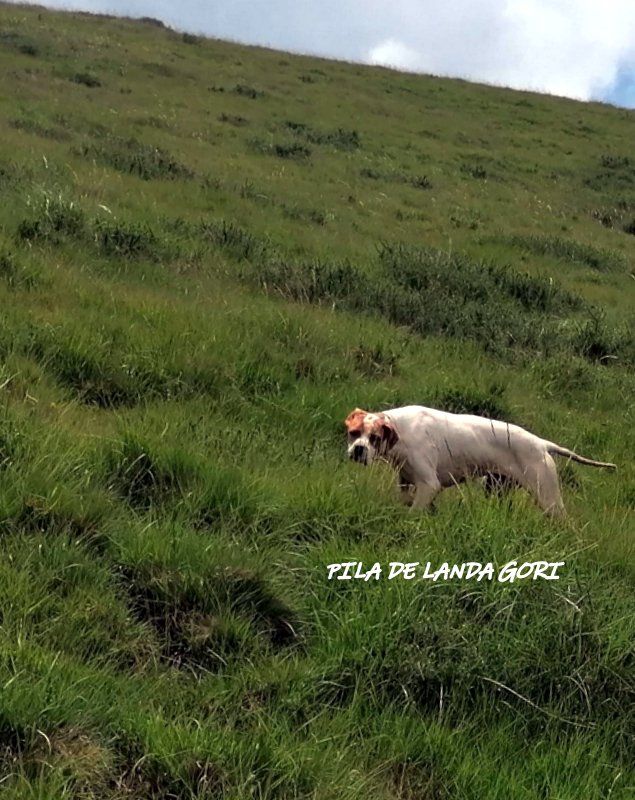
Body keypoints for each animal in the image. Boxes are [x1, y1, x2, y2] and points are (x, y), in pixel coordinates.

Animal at [346, 404, 620, 516]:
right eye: (354, 433)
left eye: (375, 438)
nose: (358, 450)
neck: (401, 430)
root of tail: (542, 443)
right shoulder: (405, 478)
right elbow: (404, 498)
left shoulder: (429, 484)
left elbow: (413, 511)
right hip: (496, 488)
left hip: (548, 498)